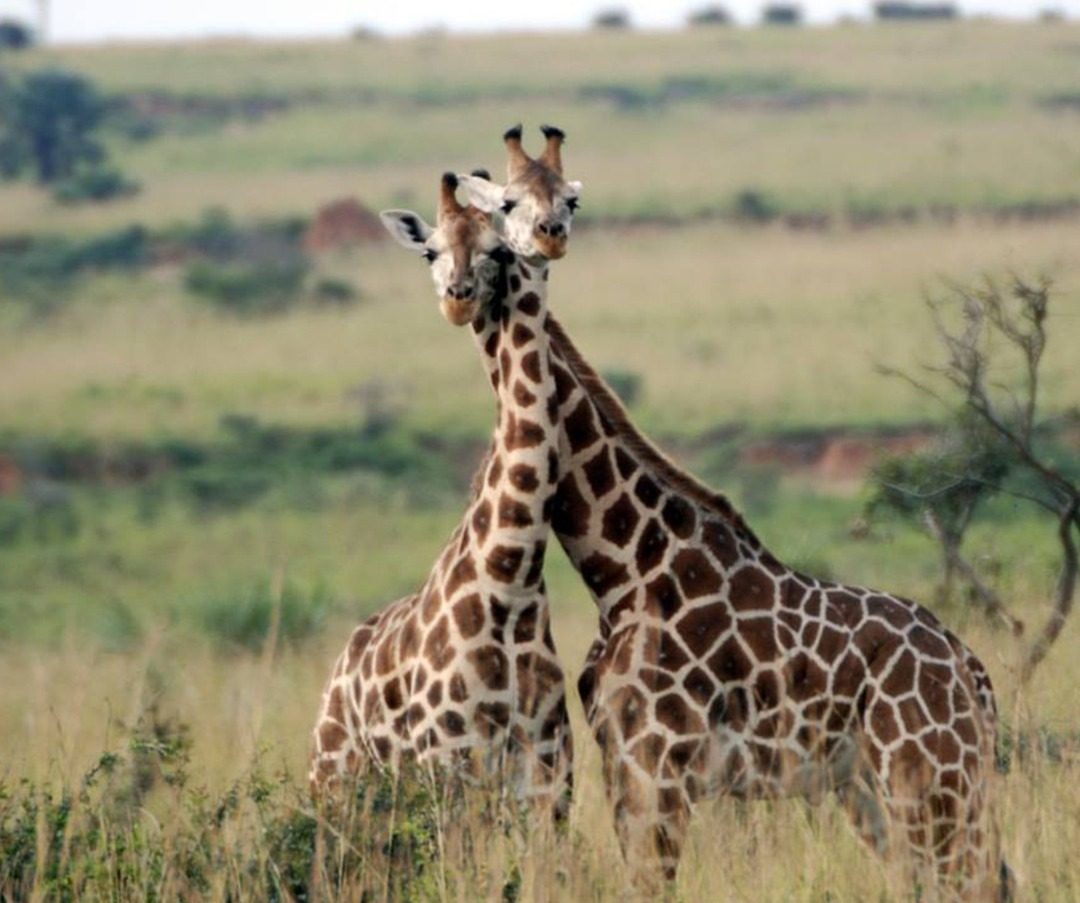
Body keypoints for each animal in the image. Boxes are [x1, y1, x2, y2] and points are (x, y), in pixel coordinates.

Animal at [308, 171, 573, 820]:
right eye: (430, 251)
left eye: (496, 251)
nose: (458, 297)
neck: (510, 578)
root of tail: (339, 667)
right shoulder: (449, 765)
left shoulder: (548, 773)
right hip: (333, 777)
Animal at [460, 132, 1003, 898]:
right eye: (504, 204)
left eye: (568, 198)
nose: (548, 237)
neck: (621, 566)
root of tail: (972, 672)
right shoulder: (623, 767)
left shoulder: (658, 767)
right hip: (875, 786)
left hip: (929, 774)